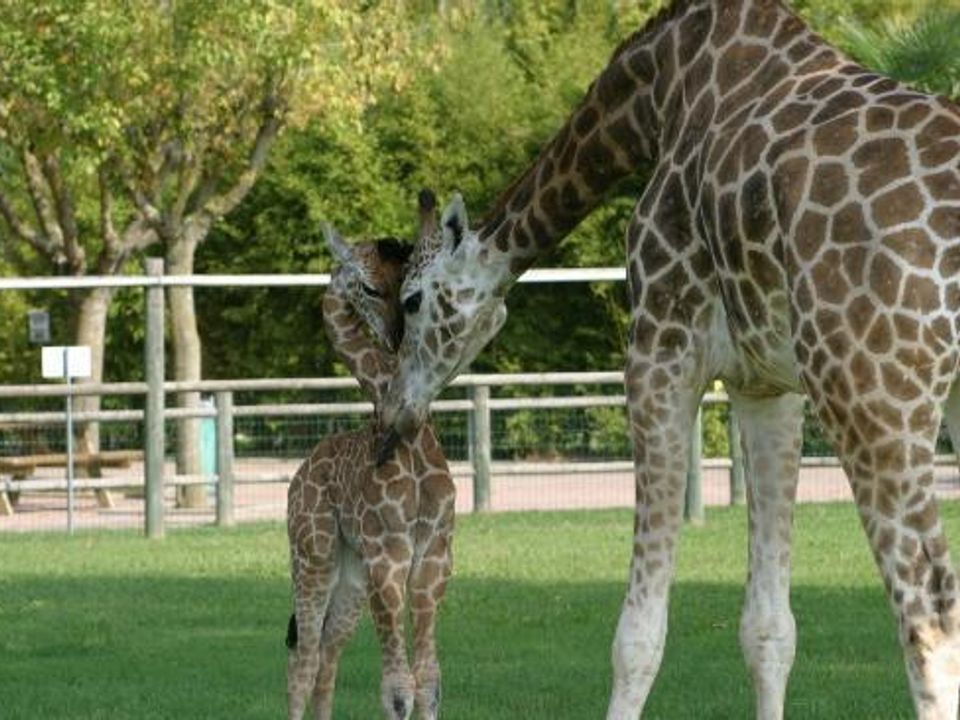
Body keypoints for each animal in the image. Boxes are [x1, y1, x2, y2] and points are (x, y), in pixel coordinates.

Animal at [284, 197, 454, 720]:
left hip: (351, 575)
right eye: (368, 286)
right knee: (303, 661)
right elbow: (397, 688)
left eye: (406, 283)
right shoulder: (388, 555)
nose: (397, 336)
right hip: (312, 555)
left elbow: (429, 681)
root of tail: (299, 473)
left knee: (327, 656)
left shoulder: (434, 555)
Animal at [376, 0, 960, 716]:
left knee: (928, 619)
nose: (395, 413)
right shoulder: (768, 386)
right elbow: (769, 627)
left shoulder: (659, 349)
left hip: (871, 394)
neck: (659, 92)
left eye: (410, 301)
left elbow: (637, 634)